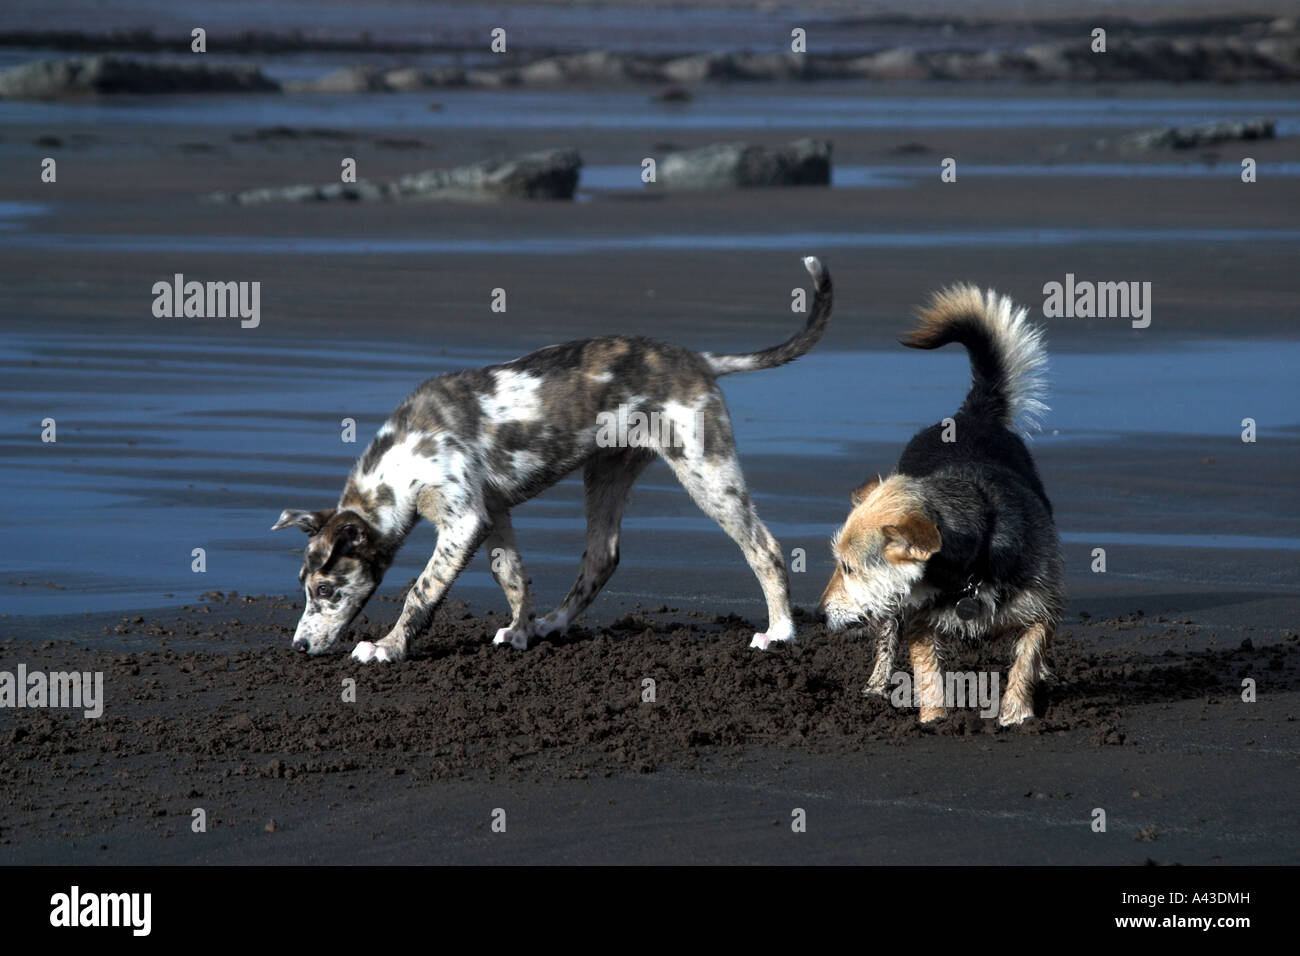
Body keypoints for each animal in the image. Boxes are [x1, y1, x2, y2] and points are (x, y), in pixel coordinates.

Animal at [274, 260, 832, 665]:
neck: (403, 457)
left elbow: (420, 592)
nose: (298, 647)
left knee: (764, 548)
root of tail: (698, 359)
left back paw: (780, 632)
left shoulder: (462, 520)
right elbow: (512, 576)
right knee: (601, 557)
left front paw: (387, 648)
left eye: (326, 589)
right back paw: (553, 626)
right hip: (607, 473)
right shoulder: (491, 514)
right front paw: (521, 632)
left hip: (705, 470)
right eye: (303, 588)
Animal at [821, 283, 1066, 723]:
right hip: (892, 611)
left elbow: (1028, 654)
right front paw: (934, 721)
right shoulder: (919, 619)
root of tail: (969, 414)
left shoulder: (1042, 605)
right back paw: (876, 685)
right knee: (887, 638)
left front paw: (1016, 714)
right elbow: (928, 670)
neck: (971, 567)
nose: (817, 614)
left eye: (848, 568)